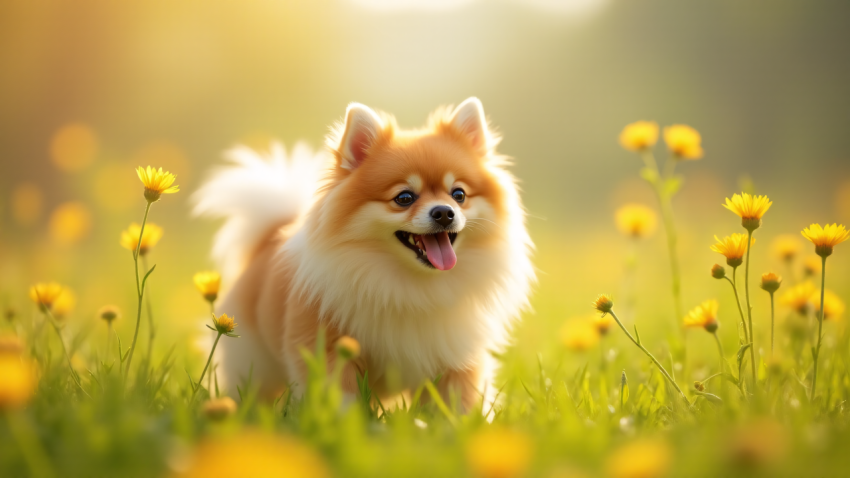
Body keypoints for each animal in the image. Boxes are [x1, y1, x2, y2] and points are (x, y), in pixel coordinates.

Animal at [195, 97, 532, 410]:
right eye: (404, 198)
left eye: (459, 194)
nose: (444, 212)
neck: (414, 286)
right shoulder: (329, 349)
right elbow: (340, 401)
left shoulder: (456, 358)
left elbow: (456, 407)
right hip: (253, 363)